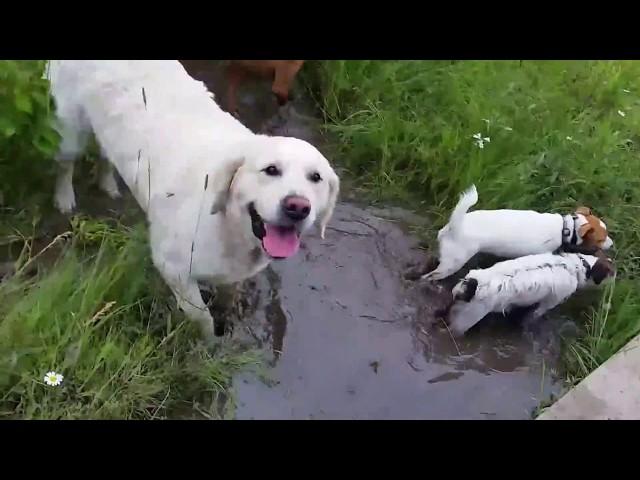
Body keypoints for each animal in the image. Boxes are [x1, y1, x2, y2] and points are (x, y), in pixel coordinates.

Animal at [47, 61, 338, 342]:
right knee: (65, 164)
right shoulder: (172, 266)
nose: (298, 207)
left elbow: (227, 298)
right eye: (271, 170)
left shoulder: (233, 275)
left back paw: (108, 184)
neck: (228, 224)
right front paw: (209, 342)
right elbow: (202, 315)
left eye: (316, 177)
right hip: (68, 126)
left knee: (106, 155)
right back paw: (64, 198)